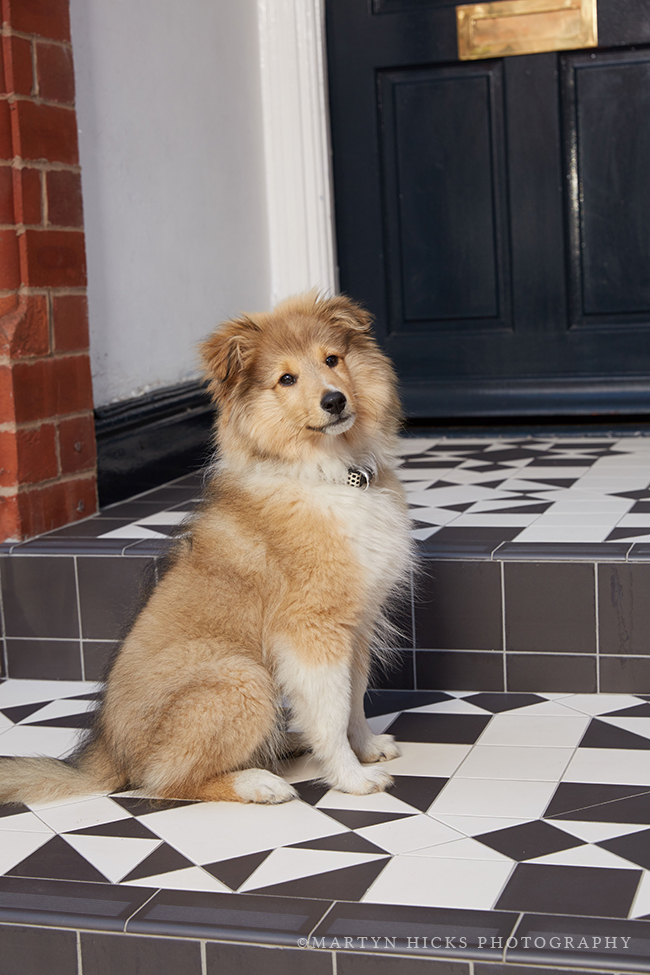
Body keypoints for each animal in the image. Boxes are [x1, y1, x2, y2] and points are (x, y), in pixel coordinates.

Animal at [0, 292, 412, 808]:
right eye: (286, 379)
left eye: (332, 360)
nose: (334, 400)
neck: (334, 476)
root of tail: (109, 756)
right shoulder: (313, 630)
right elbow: (331, 711)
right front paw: (351, 777)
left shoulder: (355, 626)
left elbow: (353, 697)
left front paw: (367, 747)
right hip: (243, 678)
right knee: (164, 781)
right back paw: (258, 782)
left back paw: (288, 742)